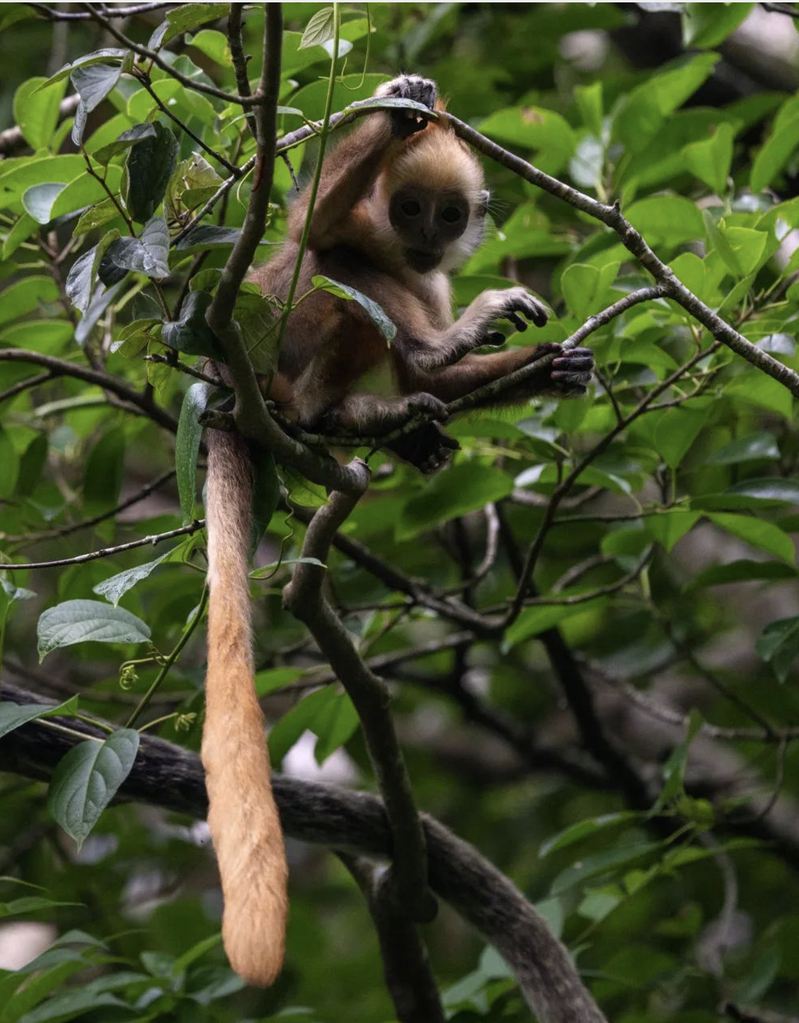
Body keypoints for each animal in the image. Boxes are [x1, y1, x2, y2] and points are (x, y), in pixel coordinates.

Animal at [200, 74, 593, 989]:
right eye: (407, 206)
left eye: (447, 216)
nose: (421, 239)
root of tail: (223, 383)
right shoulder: (354, 235)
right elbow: (314, 234)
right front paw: (394, 107)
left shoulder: (431, 275)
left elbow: (436, 368)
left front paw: (553, 367)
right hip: (276, 346)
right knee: (340, 278)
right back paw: (346, 407)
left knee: (403, 347)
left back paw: (400, 409)